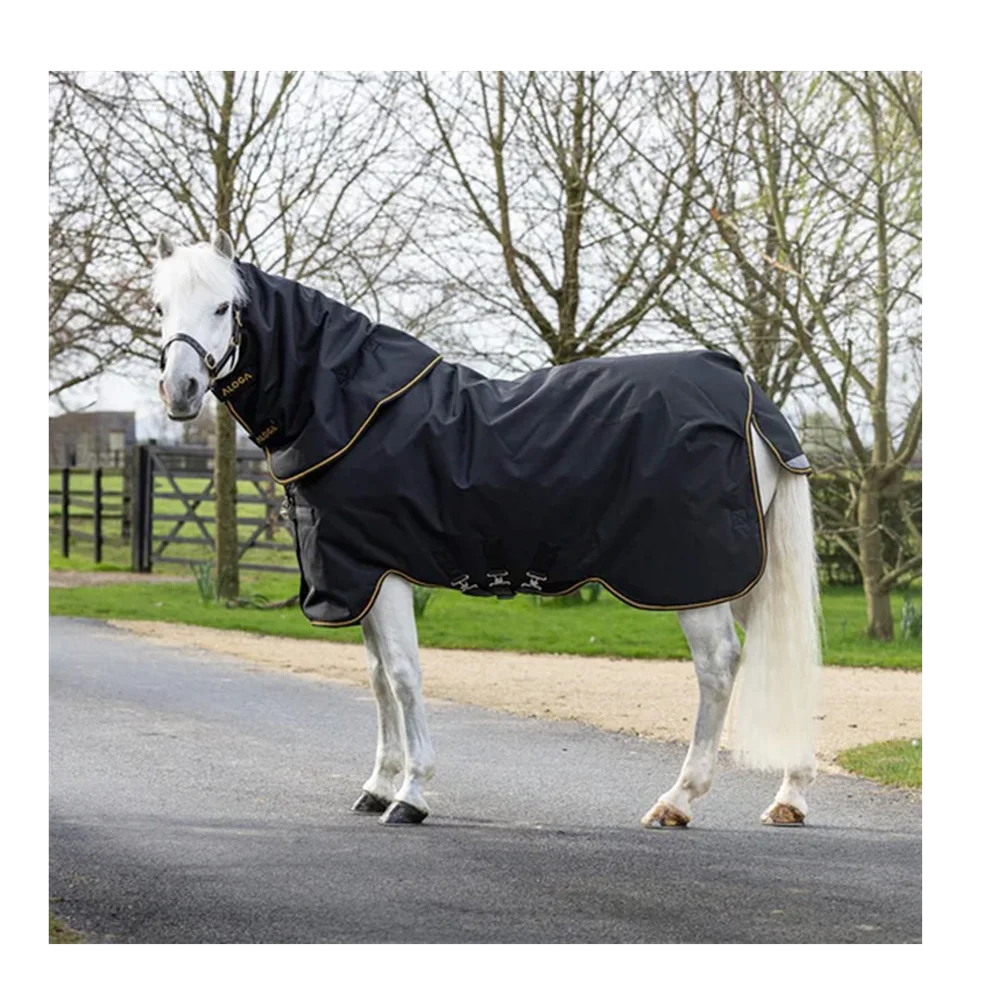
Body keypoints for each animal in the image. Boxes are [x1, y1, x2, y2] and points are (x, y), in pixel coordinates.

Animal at [152, 230, 821, 829]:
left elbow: (403, 677)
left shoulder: (384, 573)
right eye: (160, 308)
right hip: (742, 569)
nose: (179, 390)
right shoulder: (358, 577)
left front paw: (411, 795)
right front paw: (378, 784)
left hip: (693, 574)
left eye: (224, 306)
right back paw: (790, 796)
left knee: (718, 666)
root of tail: (745, 390)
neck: (351, 409)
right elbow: (377, 679)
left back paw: (677, 800)